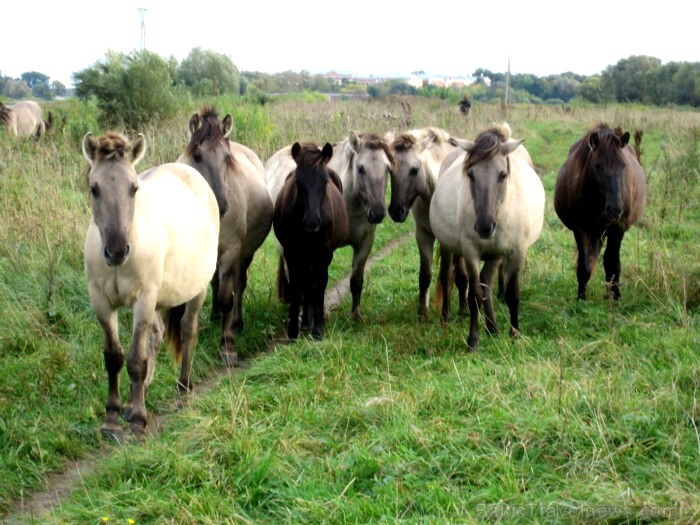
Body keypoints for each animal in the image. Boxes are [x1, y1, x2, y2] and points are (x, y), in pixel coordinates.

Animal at [82, 132, 219, 438]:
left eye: (133, 188)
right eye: (94, 188)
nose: (117, 250)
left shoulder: (144, 299)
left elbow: (136, 359)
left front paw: (137, 419)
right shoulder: (101, 302)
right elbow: (114, 357)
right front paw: (113, 417)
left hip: (198, 289)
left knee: (188, 330)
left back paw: (182, 389)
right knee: (156, 335)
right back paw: (136, 398)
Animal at [176, 106, 272, 364]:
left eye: (227, 158)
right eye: (197, 156)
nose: (220, 206)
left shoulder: (231, 250)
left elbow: (227, 297)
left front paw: (227, 344)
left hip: (244, 253)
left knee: (238, 283)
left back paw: (236, 323)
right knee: (215, 282)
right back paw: (215, 316)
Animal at [274, 141, 350, 340]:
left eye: (325, 182)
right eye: (298, 182)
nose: (312, 222)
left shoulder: (324, 253)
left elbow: (318, 284)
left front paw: (318, 329)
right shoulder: (292, 252)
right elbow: (297, 286)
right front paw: (293, 330)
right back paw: (305, 322)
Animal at [426, 123, 548, 350]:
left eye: (503, 175)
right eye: (471, 174)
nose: (484, 227)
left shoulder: (516, 252)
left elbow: (511, 294)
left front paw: (515, 332)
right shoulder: (471, 252)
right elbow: (474, 294)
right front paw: (473, 339)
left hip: (494, 255)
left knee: (487, 284)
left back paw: (492, 327)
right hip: (450, 247)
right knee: (447, 276)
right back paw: (446, 317)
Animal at [556, 123, 648, 300]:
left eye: (623, 165)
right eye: (597, 166)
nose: (615, 209)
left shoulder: (618, 229)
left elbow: (612, 263)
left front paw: (616, 296)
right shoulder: (581, 229)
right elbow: (584, 266)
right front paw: (581, 298)